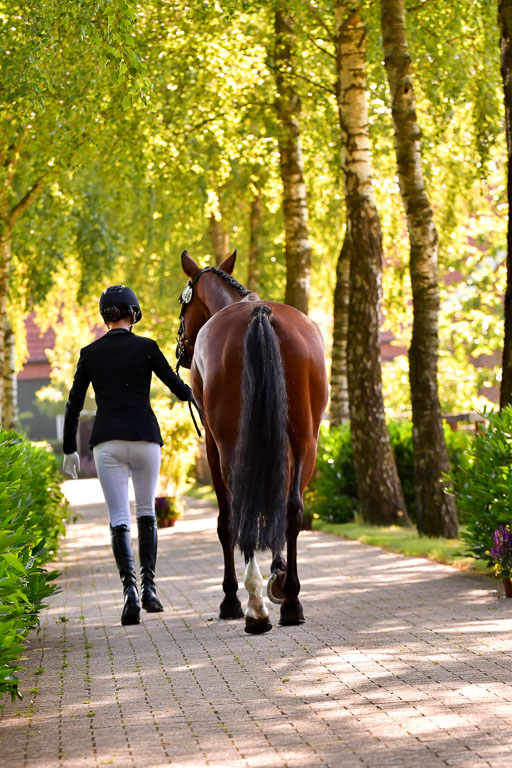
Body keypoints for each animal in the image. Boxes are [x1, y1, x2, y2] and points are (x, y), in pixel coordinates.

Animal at [176, 249, 328, 633]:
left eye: (183, 302)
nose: (181, 349)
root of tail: (260, 315)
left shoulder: (213, 446)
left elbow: (227, 521)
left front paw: (233, 597)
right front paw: (279, 573)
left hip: (232, 446)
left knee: (240, 512)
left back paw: (253, 607)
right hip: (306, 440)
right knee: (292, 510)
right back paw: (291, 602)